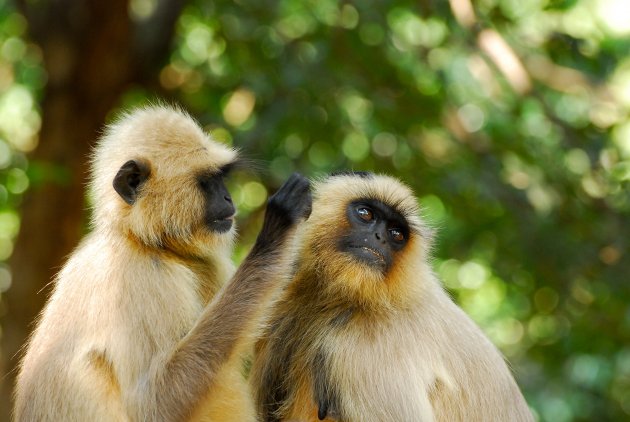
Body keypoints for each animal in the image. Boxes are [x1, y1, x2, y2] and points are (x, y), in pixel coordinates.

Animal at [12, 105, 314, 422]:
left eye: (222, 178)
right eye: (207, 182)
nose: (228, 197)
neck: (140, 239)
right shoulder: (138, 275)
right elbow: (154, 403)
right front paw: (279, 230)